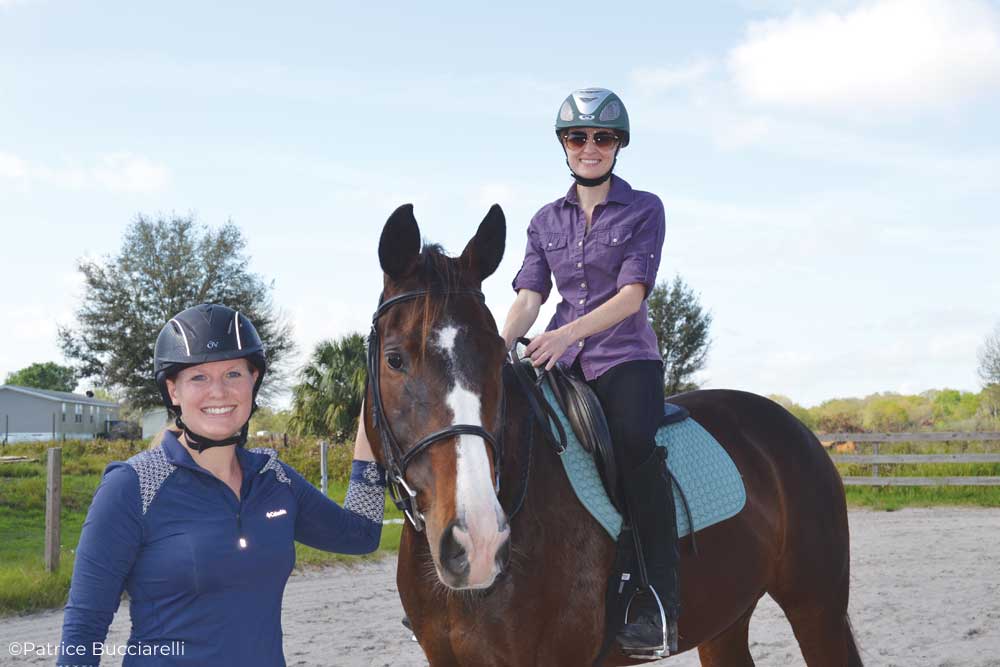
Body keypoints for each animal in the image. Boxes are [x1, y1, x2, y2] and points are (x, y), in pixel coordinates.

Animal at [364, 205, 864, 667]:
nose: (479, 543)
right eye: (394, 359)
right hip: (727, 620)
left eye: (493, 355)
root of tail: (796, 429)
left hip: (816, 608)